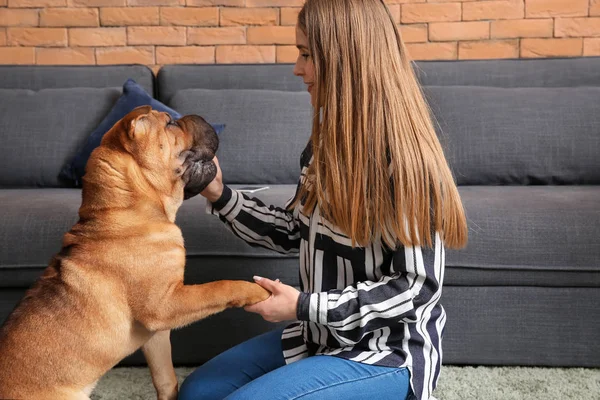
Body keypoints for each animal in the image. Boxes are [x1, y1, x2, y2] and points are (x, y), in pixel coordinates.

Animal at [0, 107, 270, 400]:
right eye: (171, 123)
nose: (196, 115)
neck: (129, 210)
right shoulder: (163, 305)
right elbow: (219, 287)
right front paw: (257, 291)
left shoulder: (156, 335)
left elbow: (166, 379)